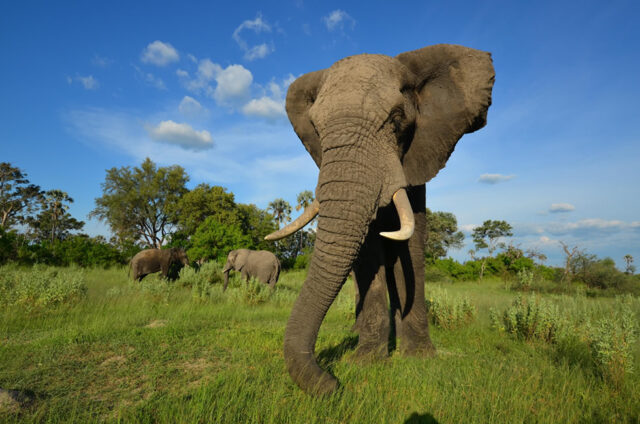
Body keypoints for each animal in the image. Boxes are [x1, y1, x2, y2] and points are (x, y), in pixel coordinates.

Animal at [265, 44, 494, 395]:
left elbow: (411, 249)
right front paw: (367, 361)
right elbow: (369, 252)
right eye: (316, 129)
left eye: (397, 120)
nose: (331, 383)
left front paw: (419, 357)